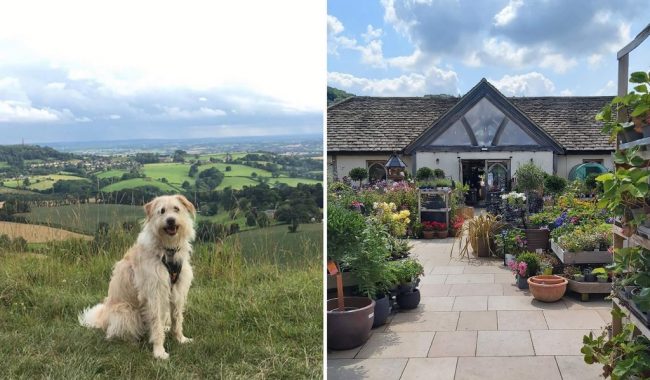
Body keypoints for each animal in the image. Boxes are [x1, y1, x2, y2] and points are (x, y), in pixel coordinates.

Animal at [79, 194, 195, 358]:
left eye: (176, 209)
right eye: (162, 211)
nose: (171, 220)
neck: (167, 251)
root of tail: (103, 320)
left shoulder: (177, 290)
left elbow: (177, 318)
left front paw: (180, 339)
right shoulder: (154, 293)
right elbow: (156, 324)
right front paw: (159, 351)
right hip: (126, 312)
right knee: (116, 333)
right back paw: (131, 342)